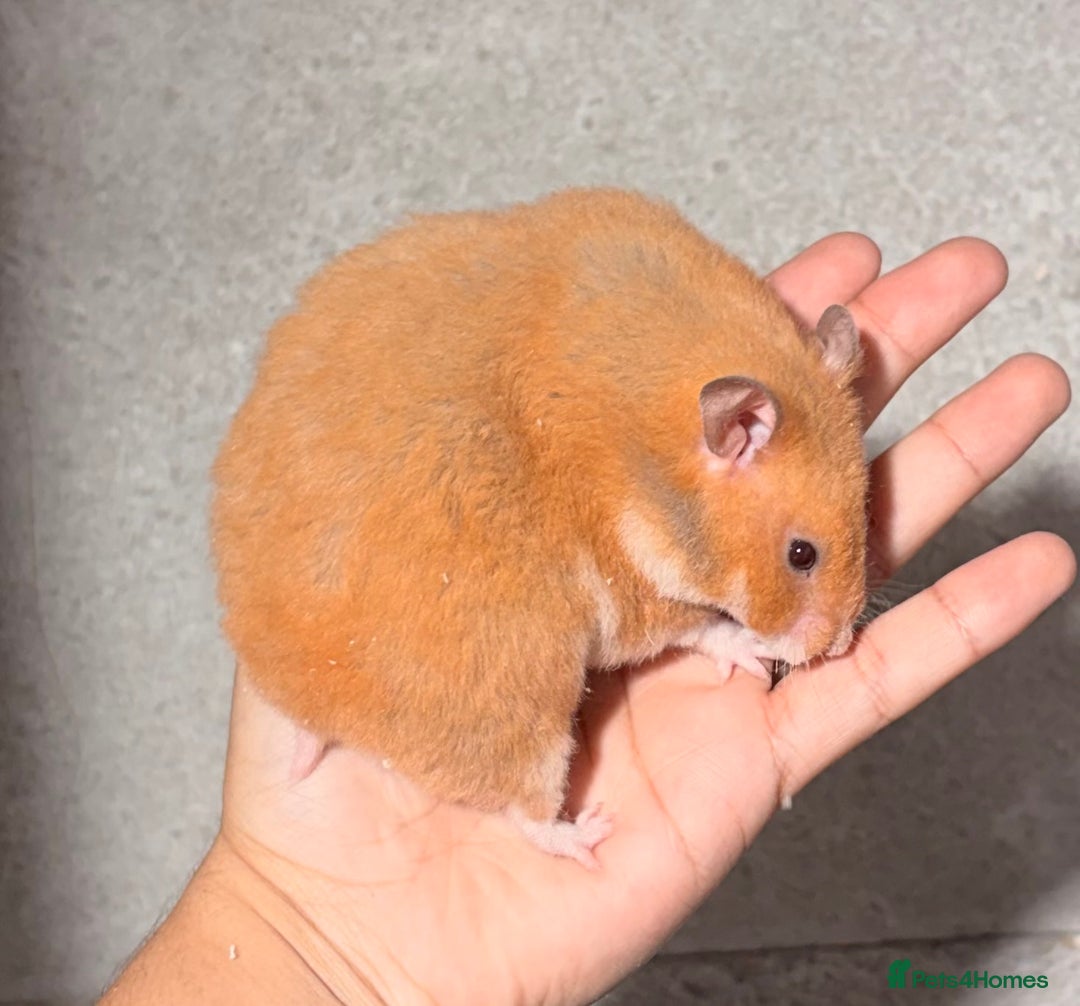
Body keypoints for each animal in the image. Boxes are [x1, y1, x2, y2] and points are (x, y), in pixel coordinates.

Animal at [211, 189, 867, 866]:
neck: (646, 462)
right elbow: (701, 627)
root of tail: (322, 705)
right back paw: (592, 835)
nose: (840, 647)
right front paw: (758, 651)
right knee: (524, 814)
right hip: (529, 706)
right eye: (801, 554)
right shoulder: (632, 595)